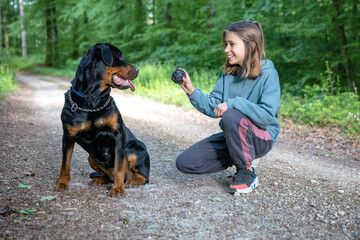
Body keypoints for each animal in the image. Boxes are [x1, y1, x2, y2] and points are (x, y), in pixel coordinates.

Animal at [54, 43, 149, 197]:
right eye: (120, 57)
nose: (138, 69)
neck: (91, 99)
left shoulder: (118, 134)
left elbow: (119, 166)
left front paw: (118, 188)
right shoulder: (68, 136)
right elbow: (65, 163)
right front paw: (62, 183)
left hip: (135, 148)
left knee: (144, 176)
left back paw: (132, 181)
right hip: (91, 158)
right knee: (107, 176)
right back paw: (99, 179)